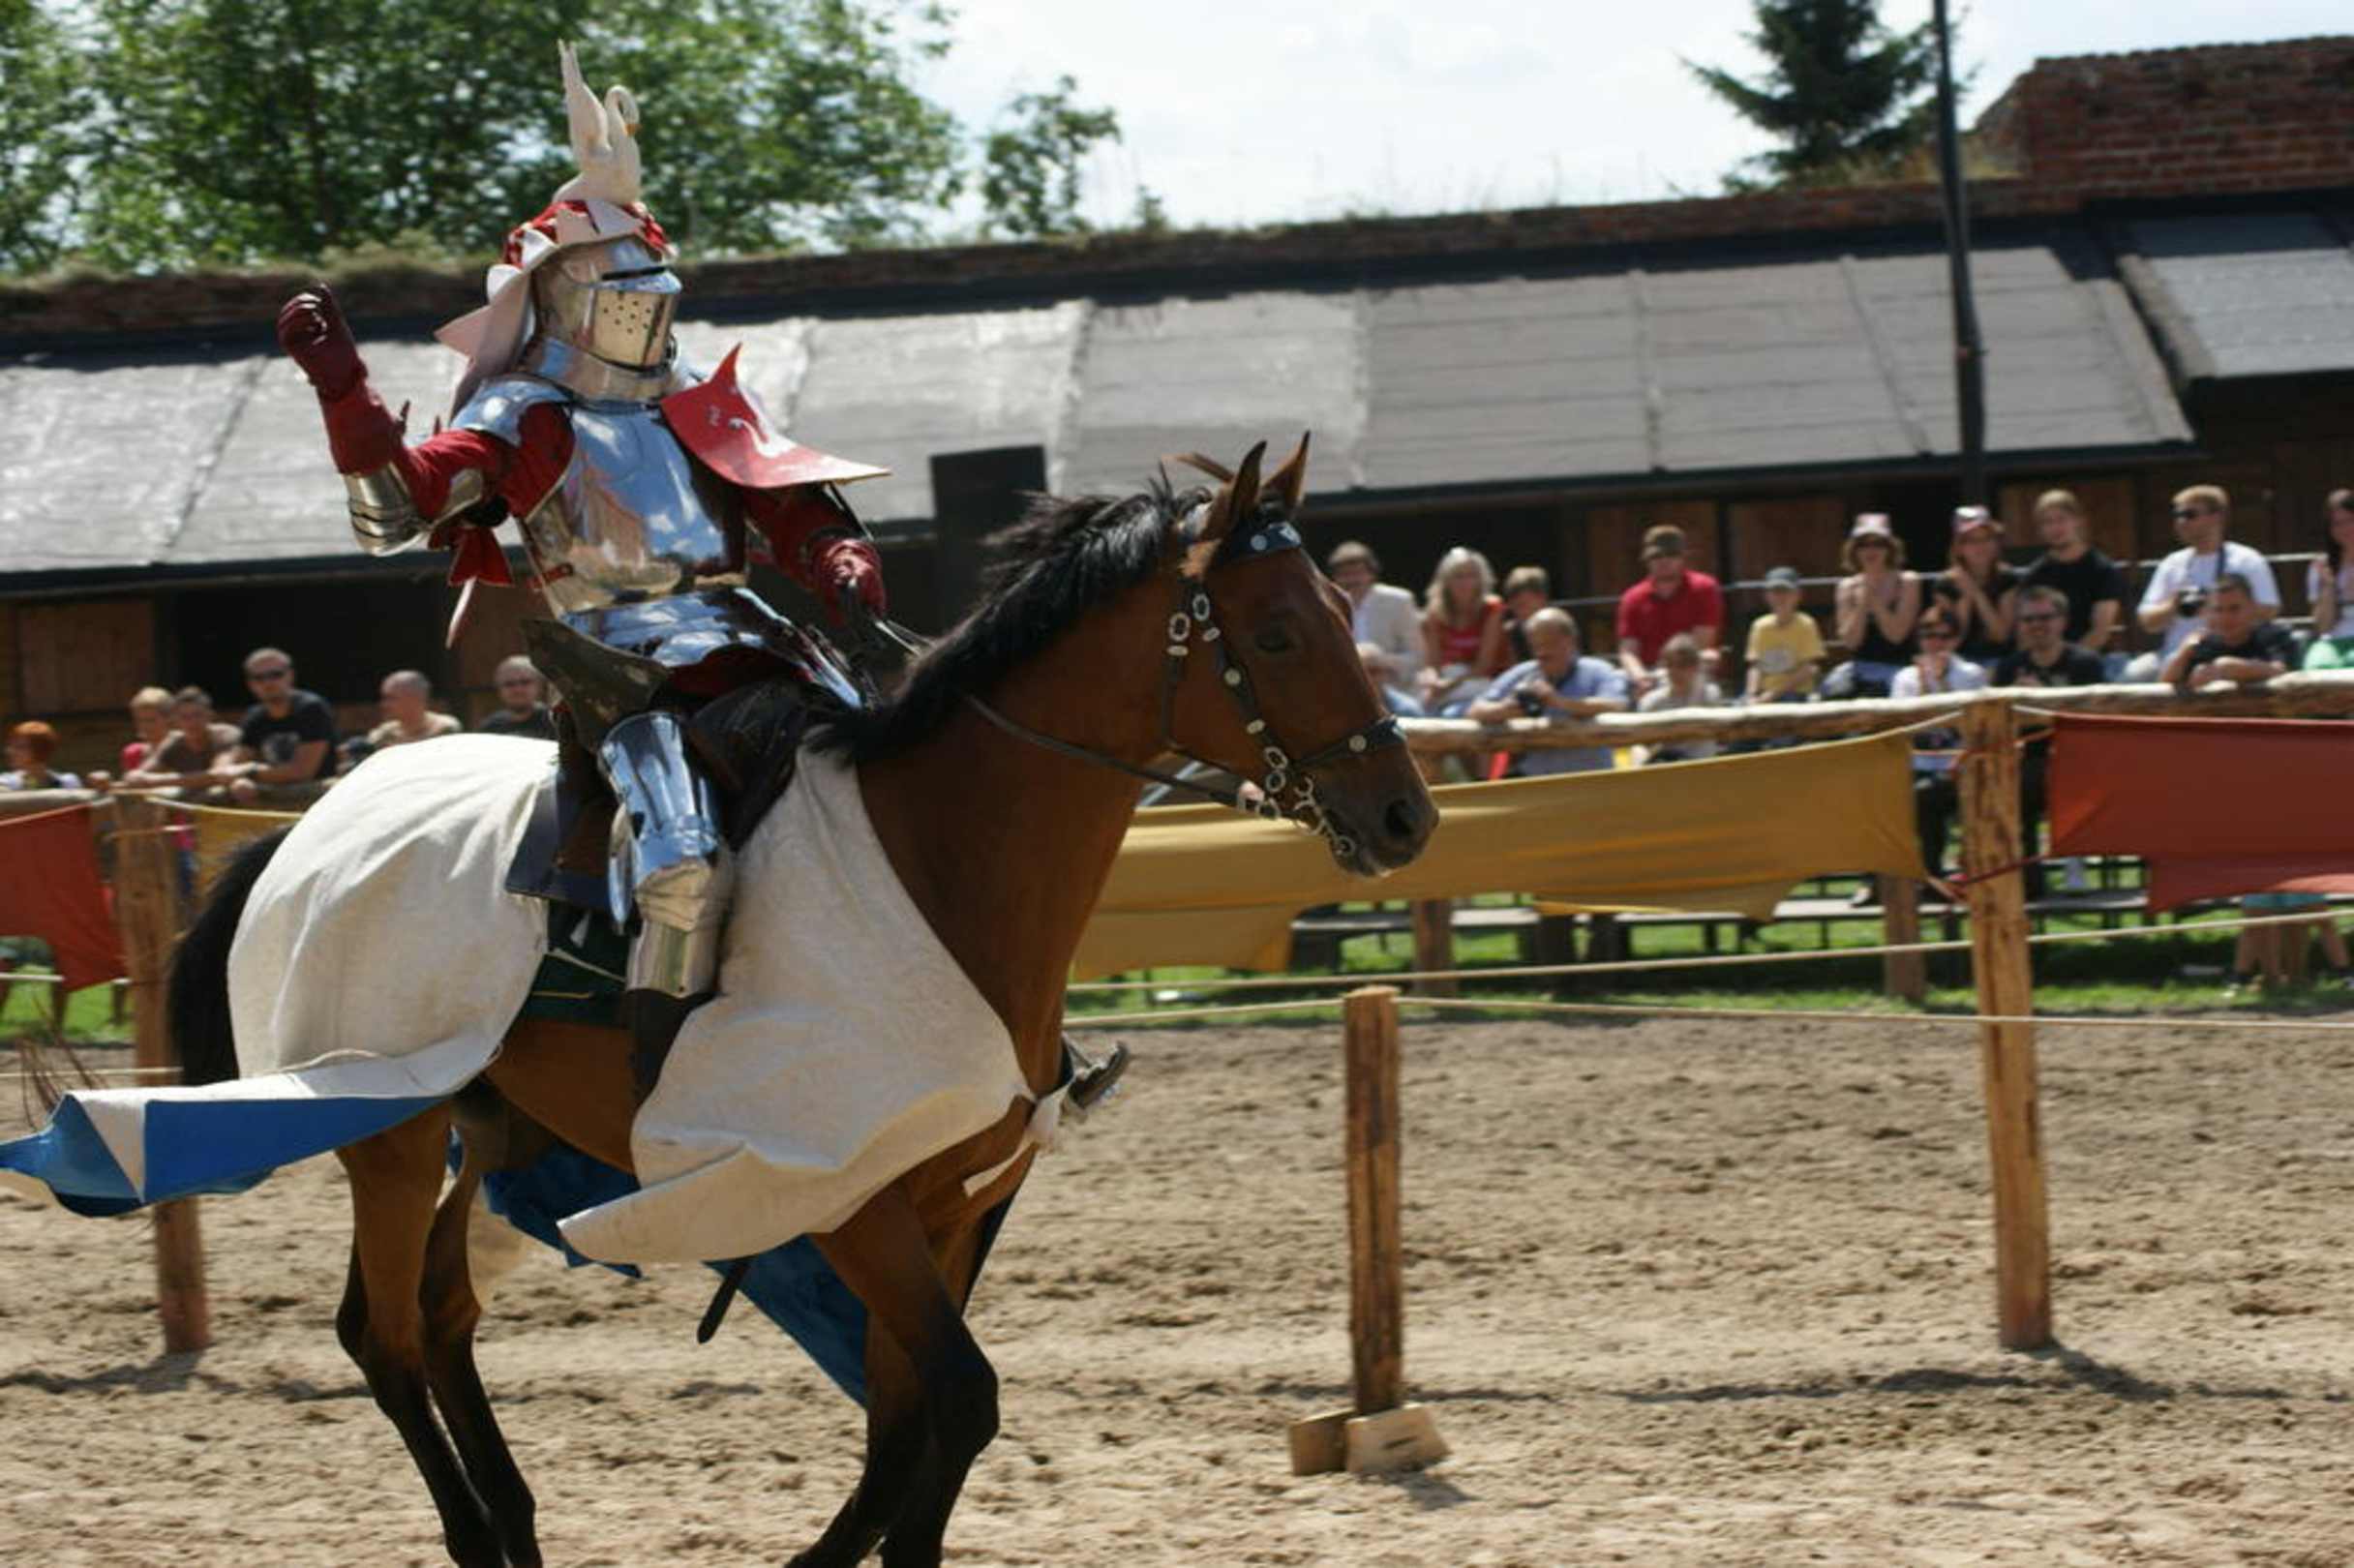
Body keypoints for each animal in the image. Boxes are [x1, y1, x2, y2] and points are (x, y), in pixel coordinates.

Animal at [163, 438, 1436, 1568]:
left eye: (1343, 610)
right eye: (1274, 632)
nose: (1401, 818)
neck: (935, 867)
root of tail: (302, 831)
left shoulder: (952, 1208)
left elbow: (908, 1429)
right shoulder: (848, 1203)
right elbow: (955, 1405)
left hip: (488, 1131)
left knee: (439, 1316)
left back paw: (517, 1530)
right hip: (388, 1131)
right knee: (381, 1335)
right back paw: (479, 1538)